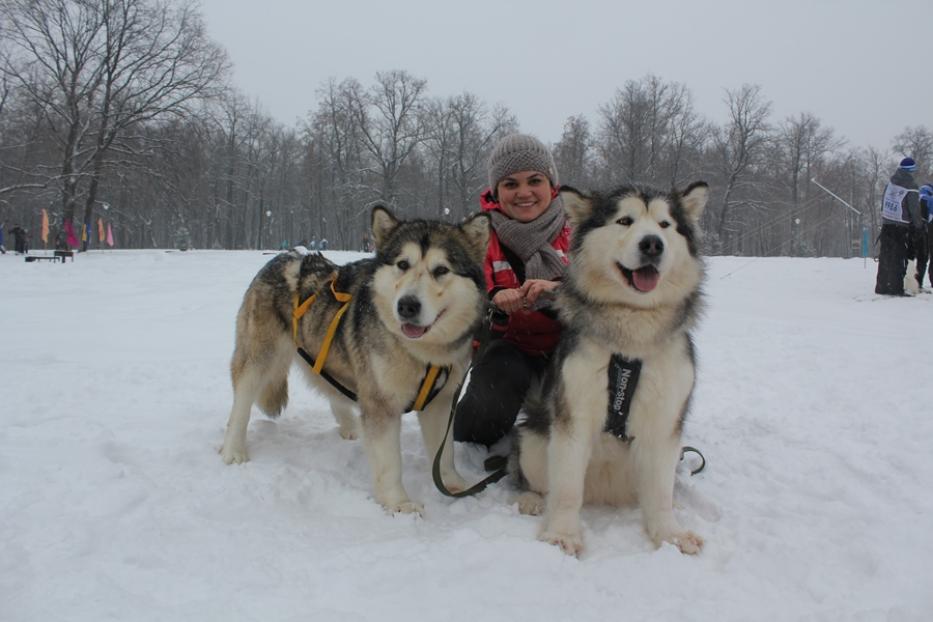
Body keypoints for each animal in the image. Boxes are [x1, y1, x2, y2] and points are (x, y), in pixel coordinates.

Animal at [222, 207, 492, 516]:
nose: (407, 305)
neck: (422, 354)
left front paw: (454, 484)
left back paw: (351, 427)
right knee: (242, 402)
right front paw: (398, 503)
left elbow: (444, 453)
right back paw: (233, 450)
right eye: (402, 264)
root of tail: (287, 256)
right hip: (259, 356)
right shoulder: (382, 403)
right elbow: (390, 462)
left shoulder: (441, 403)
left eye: (441, 270)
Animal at [516, 183, 708, 560]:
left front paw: (669, 534)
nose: (652, 244)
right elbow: (567, 489)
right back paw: (532, 500)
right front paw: (562, 535)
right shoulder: (574, 413)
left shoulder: (666, 419)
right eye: (624, 220)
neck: (632, 339)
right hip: (531, 440)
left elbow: (660, 493)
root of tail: (605, 493)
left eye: (665, 224)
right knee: (544, 482)